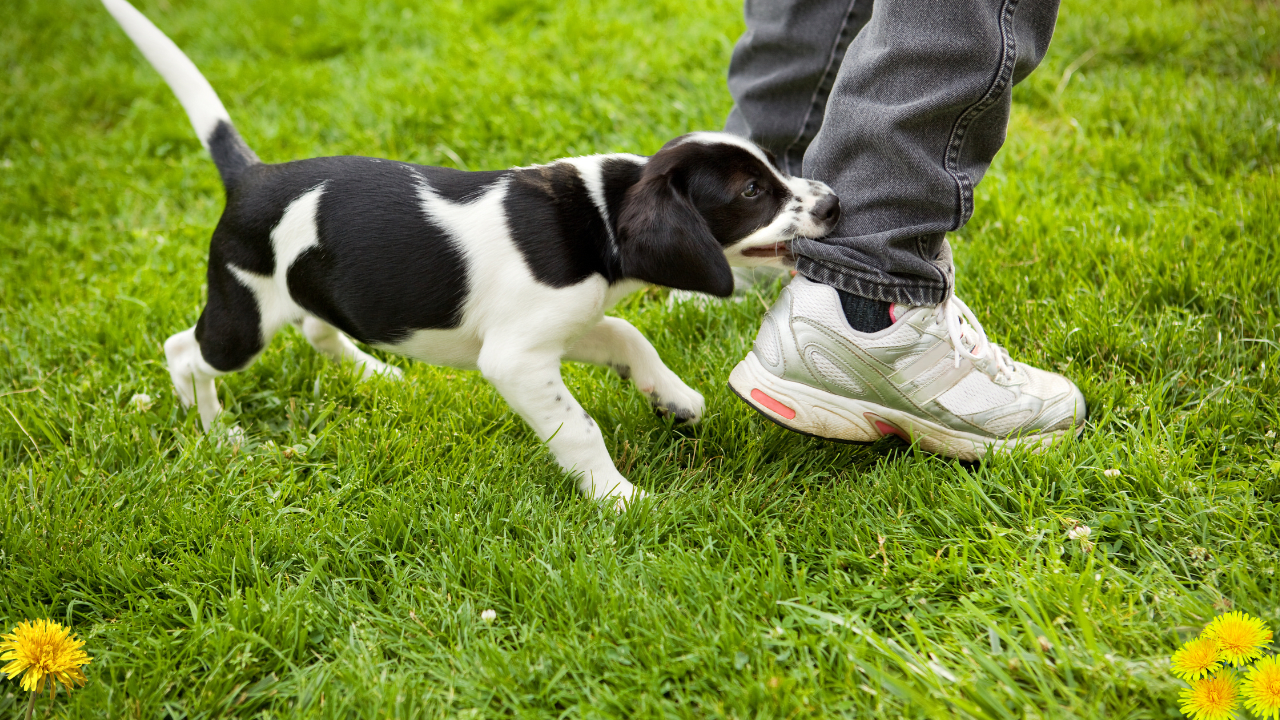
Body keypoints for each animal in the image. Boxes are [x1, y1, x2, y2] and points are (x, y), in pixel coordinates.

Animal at [102, 0, 839, 504]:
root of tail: (251, 177)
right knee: (185, 350)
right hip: (244, 314)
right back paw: (214, 431)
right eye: (752, 192)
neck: (599, 214)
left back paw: (376, 373)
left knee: (318, 327)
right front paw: (619, 498)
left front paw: (674, 398)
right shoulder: (515, 358)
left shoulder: (561, 326)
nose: (833, 203)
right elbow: (580, 428)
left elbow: (630, 336)